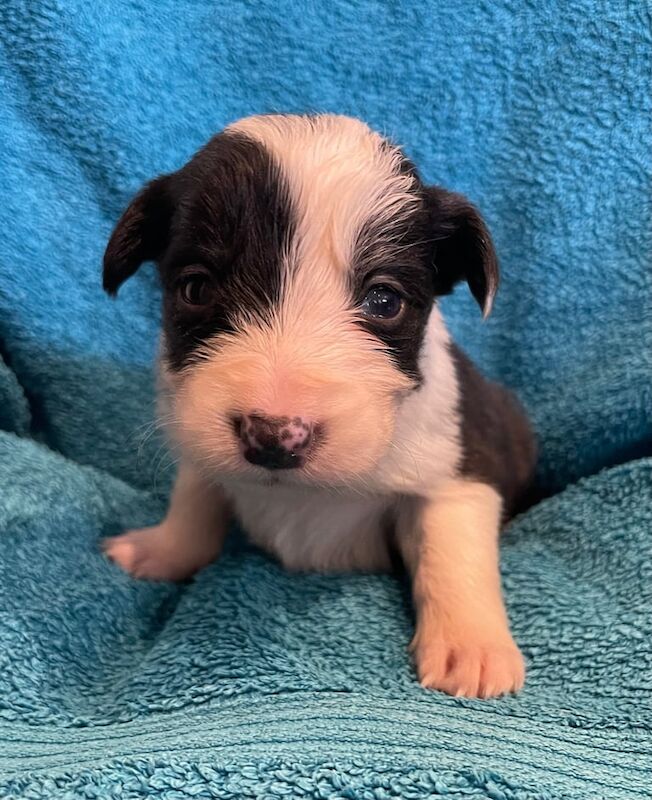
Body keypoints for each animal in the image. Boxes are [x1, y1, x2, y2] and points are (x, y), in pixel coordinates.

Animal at [104, 114, 536, 700]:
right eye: (195, 289)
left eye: (384, 300)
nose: (273, 435)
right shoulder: (199, 439)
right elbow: (194, 499)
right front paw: (161, 550)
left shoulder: (458, 467)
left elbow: (452, 549)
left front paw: (471, 647)